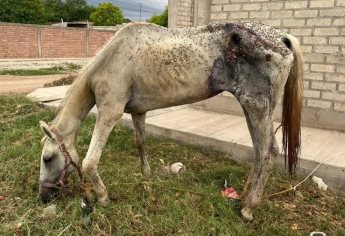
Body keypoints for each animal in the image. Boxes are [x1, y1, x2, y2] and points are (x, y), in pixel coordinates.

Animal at [37, 21, 300, 220]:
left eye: (47, 158)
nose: (42, 197)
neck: (113, 58)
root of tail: (282, 38)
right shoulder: (138, 112)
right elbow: (140, 143)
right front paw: (147, 176)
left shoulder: (109, 113)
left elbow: (90, 162)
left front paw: (103, 196)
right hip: (250, 108)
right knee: (258, 151)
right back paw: (244, 196)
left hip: (256, 107)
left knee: (269, 151)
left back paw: (248, 209)